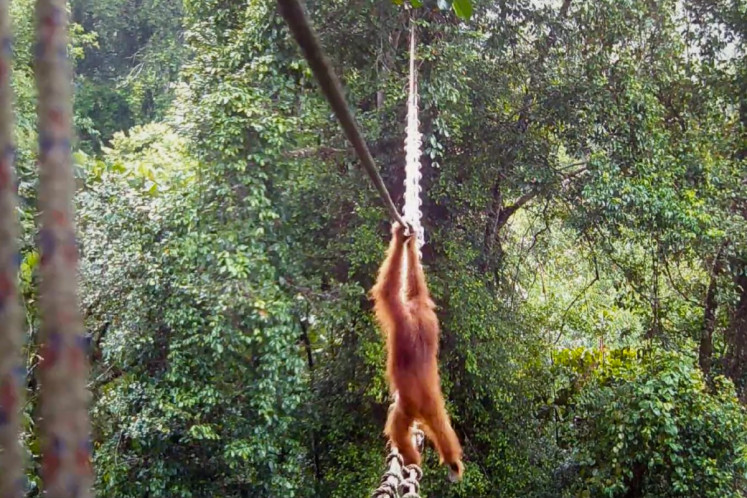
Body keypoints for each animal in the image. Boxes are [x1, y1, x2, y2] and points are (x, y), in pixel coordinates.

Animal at [370, 221, 464, 481]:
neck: (415, 316)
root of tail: (426, 396)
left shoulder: (400, 316)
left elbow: (388, 291)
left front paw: (399, 237)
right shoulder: (425, 309)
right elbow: (417, 287)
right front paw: (410, 243)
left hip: (407, 406)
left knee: (397, 428)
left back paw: (411, 460)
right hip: (432, 404)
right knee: (442, 427)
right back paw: (453, 462)